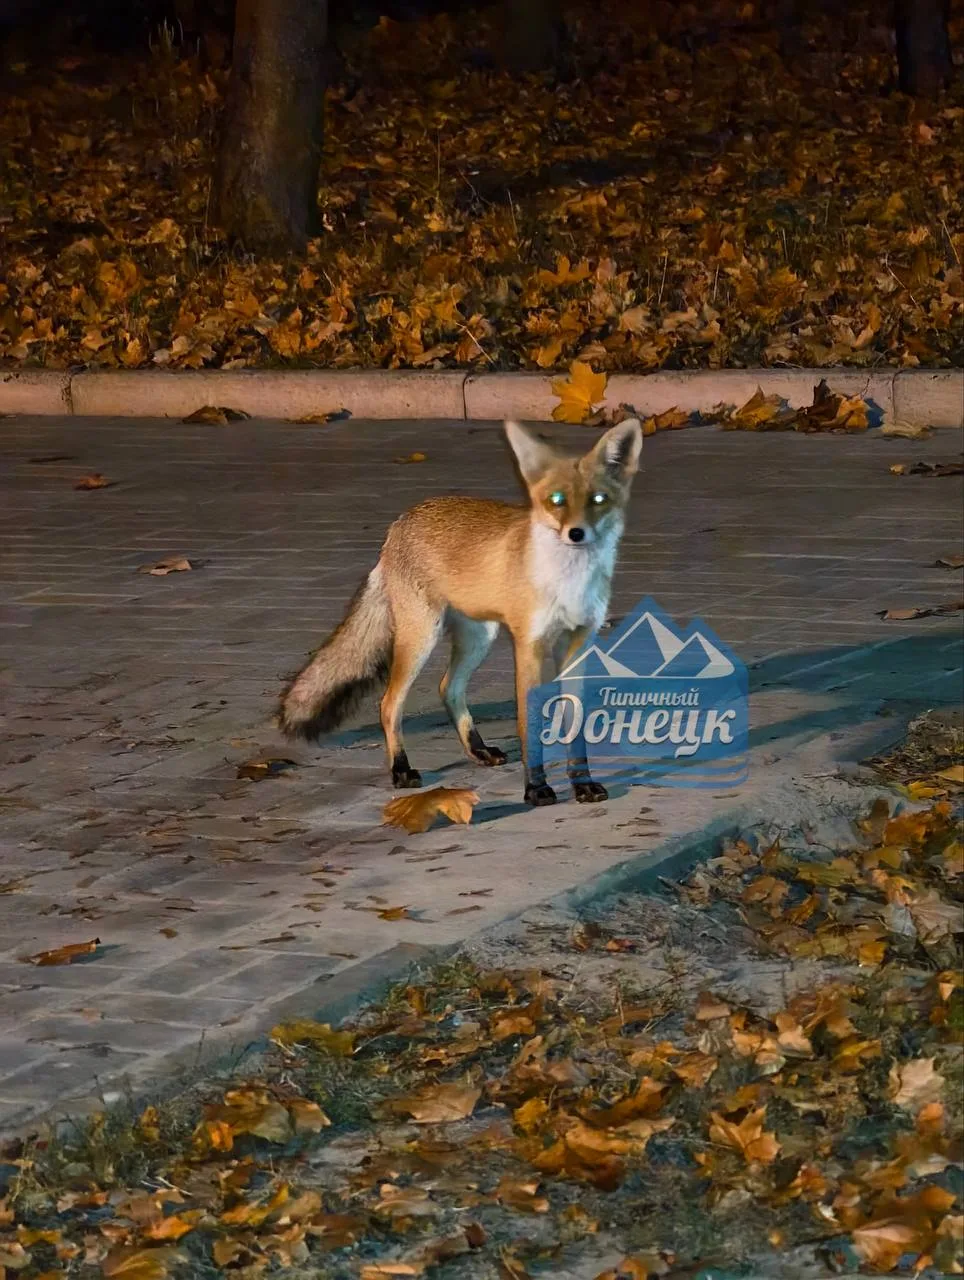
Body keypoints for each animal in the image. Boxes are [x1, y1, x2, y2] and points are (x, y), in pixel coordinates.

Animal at [278, 417, 643, 806]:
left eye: (598, 500)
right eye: (556, 501)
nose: (576, 533)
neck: (569, 582)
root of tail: (399, 523)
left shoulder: (578, 642)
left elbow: (574, 724)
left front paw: (582, 784)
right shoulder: (528, 645)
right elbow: (529, 723)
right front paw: (536, 788)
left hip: (478, 638)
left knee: (448, 688)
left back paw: (477, 750)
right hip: (421, 637)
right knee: (389, 704)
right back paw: (401, 769)